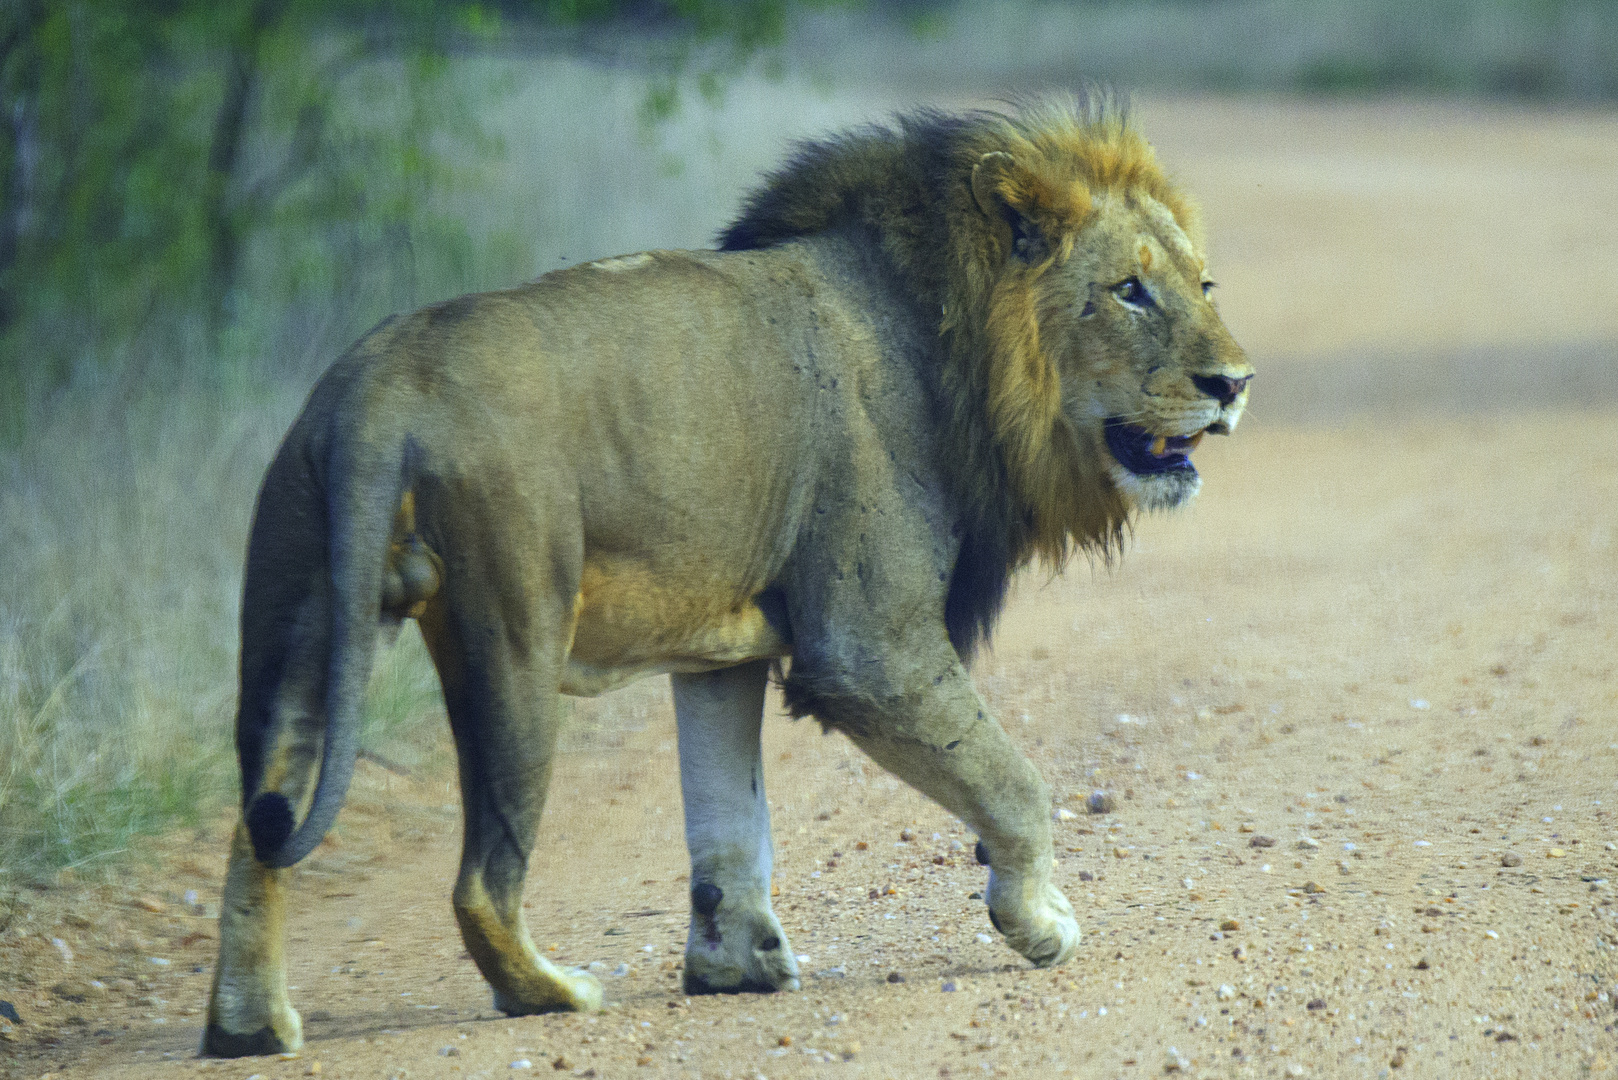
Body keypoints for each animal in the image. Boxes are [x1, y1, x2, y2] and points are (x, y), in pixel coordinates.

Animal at [202, 93, 1249, 1055]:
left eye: (1203, 282)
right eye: (1129, 291)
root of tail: (381, 388)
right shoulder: (870, 646)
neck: (953, 340)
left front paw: (734, 963)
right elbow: (1015, 782)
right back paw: (554, 992)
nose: (1235, 383)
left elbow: (727, 817)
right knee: (480, 884)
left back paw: (251, 1027)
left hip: (296, 626)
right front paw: (1039, 922)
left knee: (257, 830)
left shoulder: (719, 655)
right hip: (513, 631)